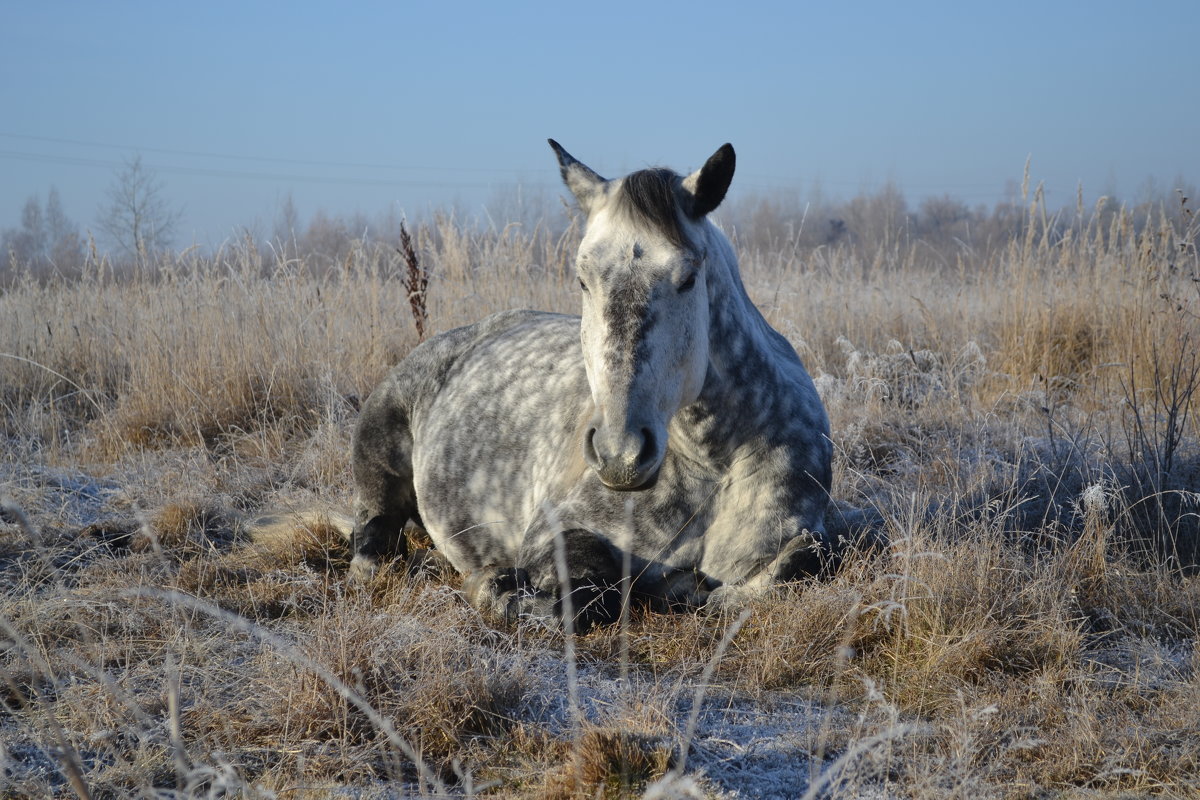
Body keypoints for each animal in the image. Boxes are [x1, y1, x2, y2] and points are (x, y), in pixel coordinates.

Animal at [348, 140, 835, 628]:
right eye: (582, 280)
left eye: (688, 279)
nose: (620, 457)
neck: (714, 465)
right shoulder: (555, 531)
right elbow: (584, 598)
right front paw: (493, 586)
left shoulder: (812, 531)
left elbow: (804, 560)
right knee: (373, 538)